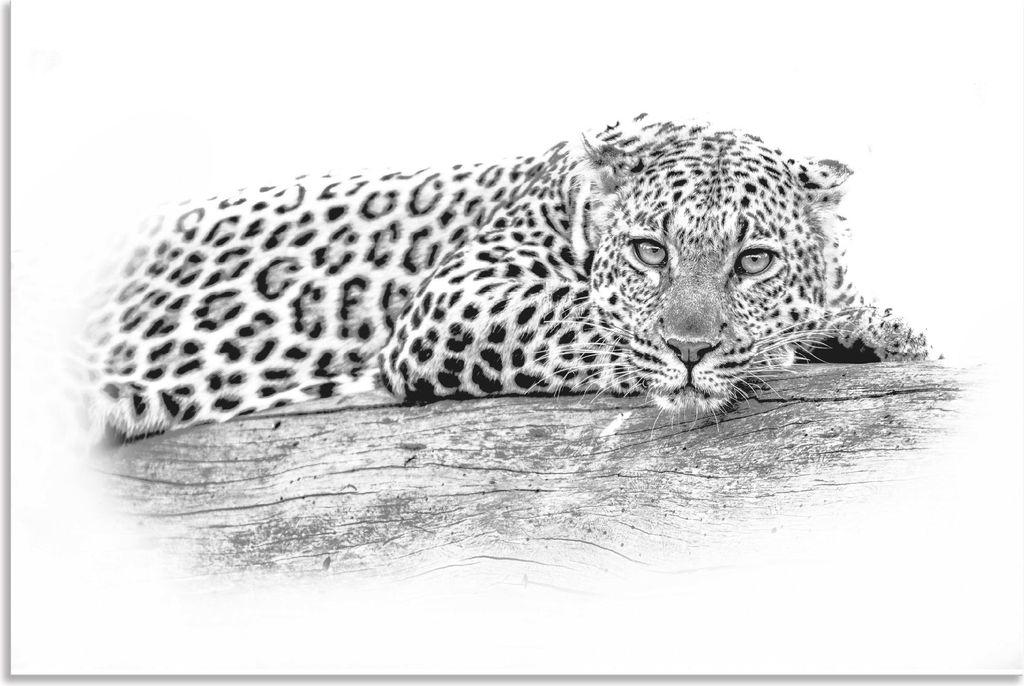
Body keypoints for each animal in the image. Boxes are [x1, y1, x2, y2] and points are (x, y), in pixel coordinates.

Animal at [78, 114, 931, 442]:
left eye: (753, 261)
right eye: (650, 252)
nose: (692, 350)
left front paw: (879, 329)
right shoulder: (458, 298)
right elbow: (593, 318)